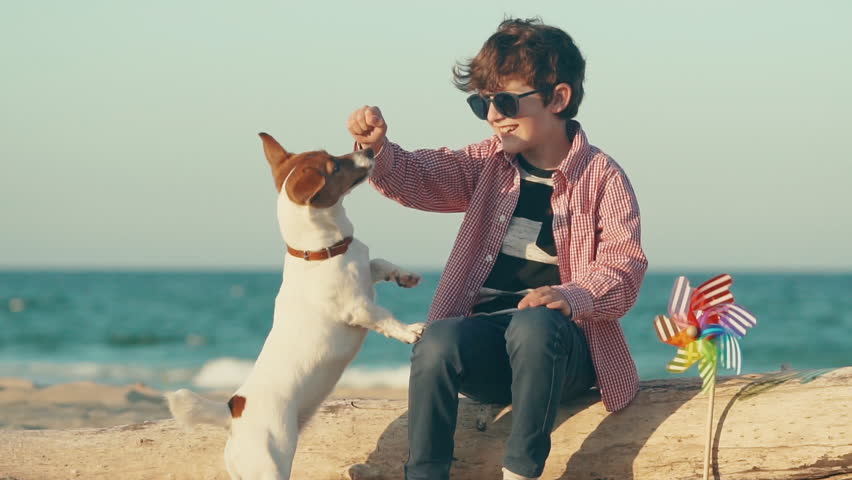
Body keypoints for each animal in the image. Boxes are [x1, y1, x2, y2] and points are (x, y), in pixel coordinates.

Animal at [165, 132, 424, 480]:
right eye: (335, 166)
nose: (370, 150)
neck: (319, 251)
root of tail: (233, 411)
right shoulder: (358, 308)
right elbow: (385, 318)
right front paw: (410, 330)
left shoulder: (366, 274)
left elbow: (380, 263)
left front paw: (405, 276)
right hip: (270, 466)